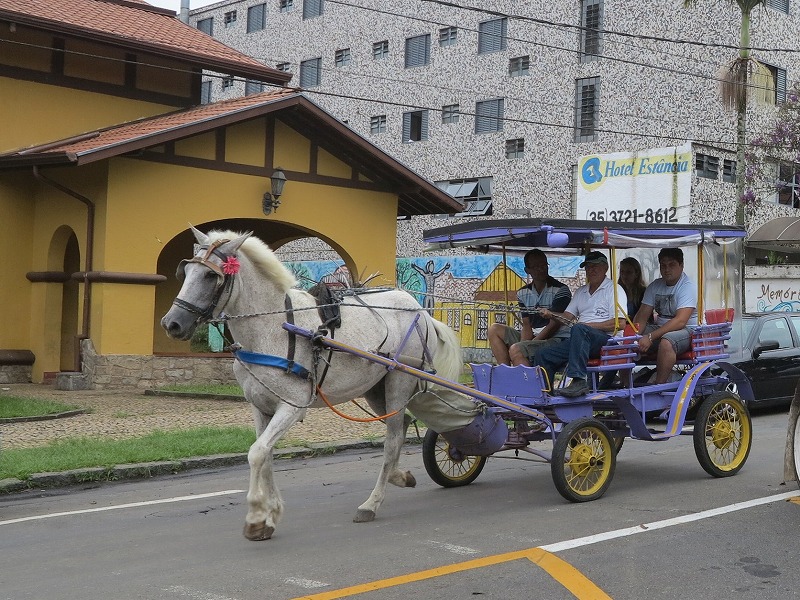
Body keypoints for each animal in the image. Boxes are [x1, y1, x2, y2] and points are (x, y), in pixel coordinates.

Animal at [161, 227, 462, 540]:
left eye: (211, 275)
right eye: (186, 271)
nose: (172, 323)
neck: (275, 327)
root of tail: (420, 311)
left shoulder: (292, 406)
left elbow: (256, 453)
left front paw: (256, 517)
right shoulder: (260, 407)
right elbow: (266, 456)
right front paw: (270, 515)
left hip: (399, 382)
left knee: (391, 440)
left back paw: (371, 503)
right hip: (374, 390)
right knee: (401, 427)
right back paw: (398, 476)